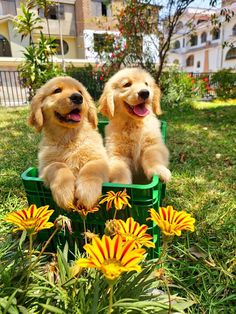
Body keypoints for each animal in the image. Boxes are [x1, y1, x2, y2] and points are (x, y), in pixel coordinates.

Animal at [28, 75, 109, 211]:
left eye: (80, 91)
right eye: (57, 90)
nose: (77, 97)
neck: (69, 138)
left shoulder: (100, 158)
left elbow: (90, 168)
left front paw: (88, 193)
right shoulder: (44, 167)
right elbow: (57, 166)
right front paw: (64, 192)